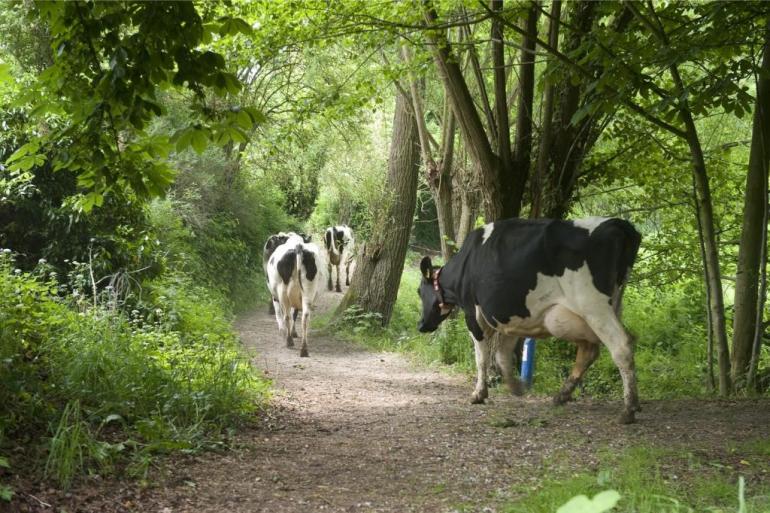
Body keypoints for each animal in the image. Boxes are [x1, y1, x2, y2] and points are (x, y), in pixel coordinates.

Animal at [416, 216, 640, 424]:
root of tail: (617, 223)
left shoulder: (473, 313)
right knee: (589, 351)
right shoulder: (512, 318)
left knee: (621, 346)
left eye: (419, 291)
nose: (421, 325)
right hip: (604, 307)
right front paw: (516, 386)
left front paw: (479, 394)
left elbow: (482, 357)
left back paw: (628, 410)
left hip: (593, 306)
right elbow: (503, 355)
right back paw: (563, 395)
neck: (465, 263)